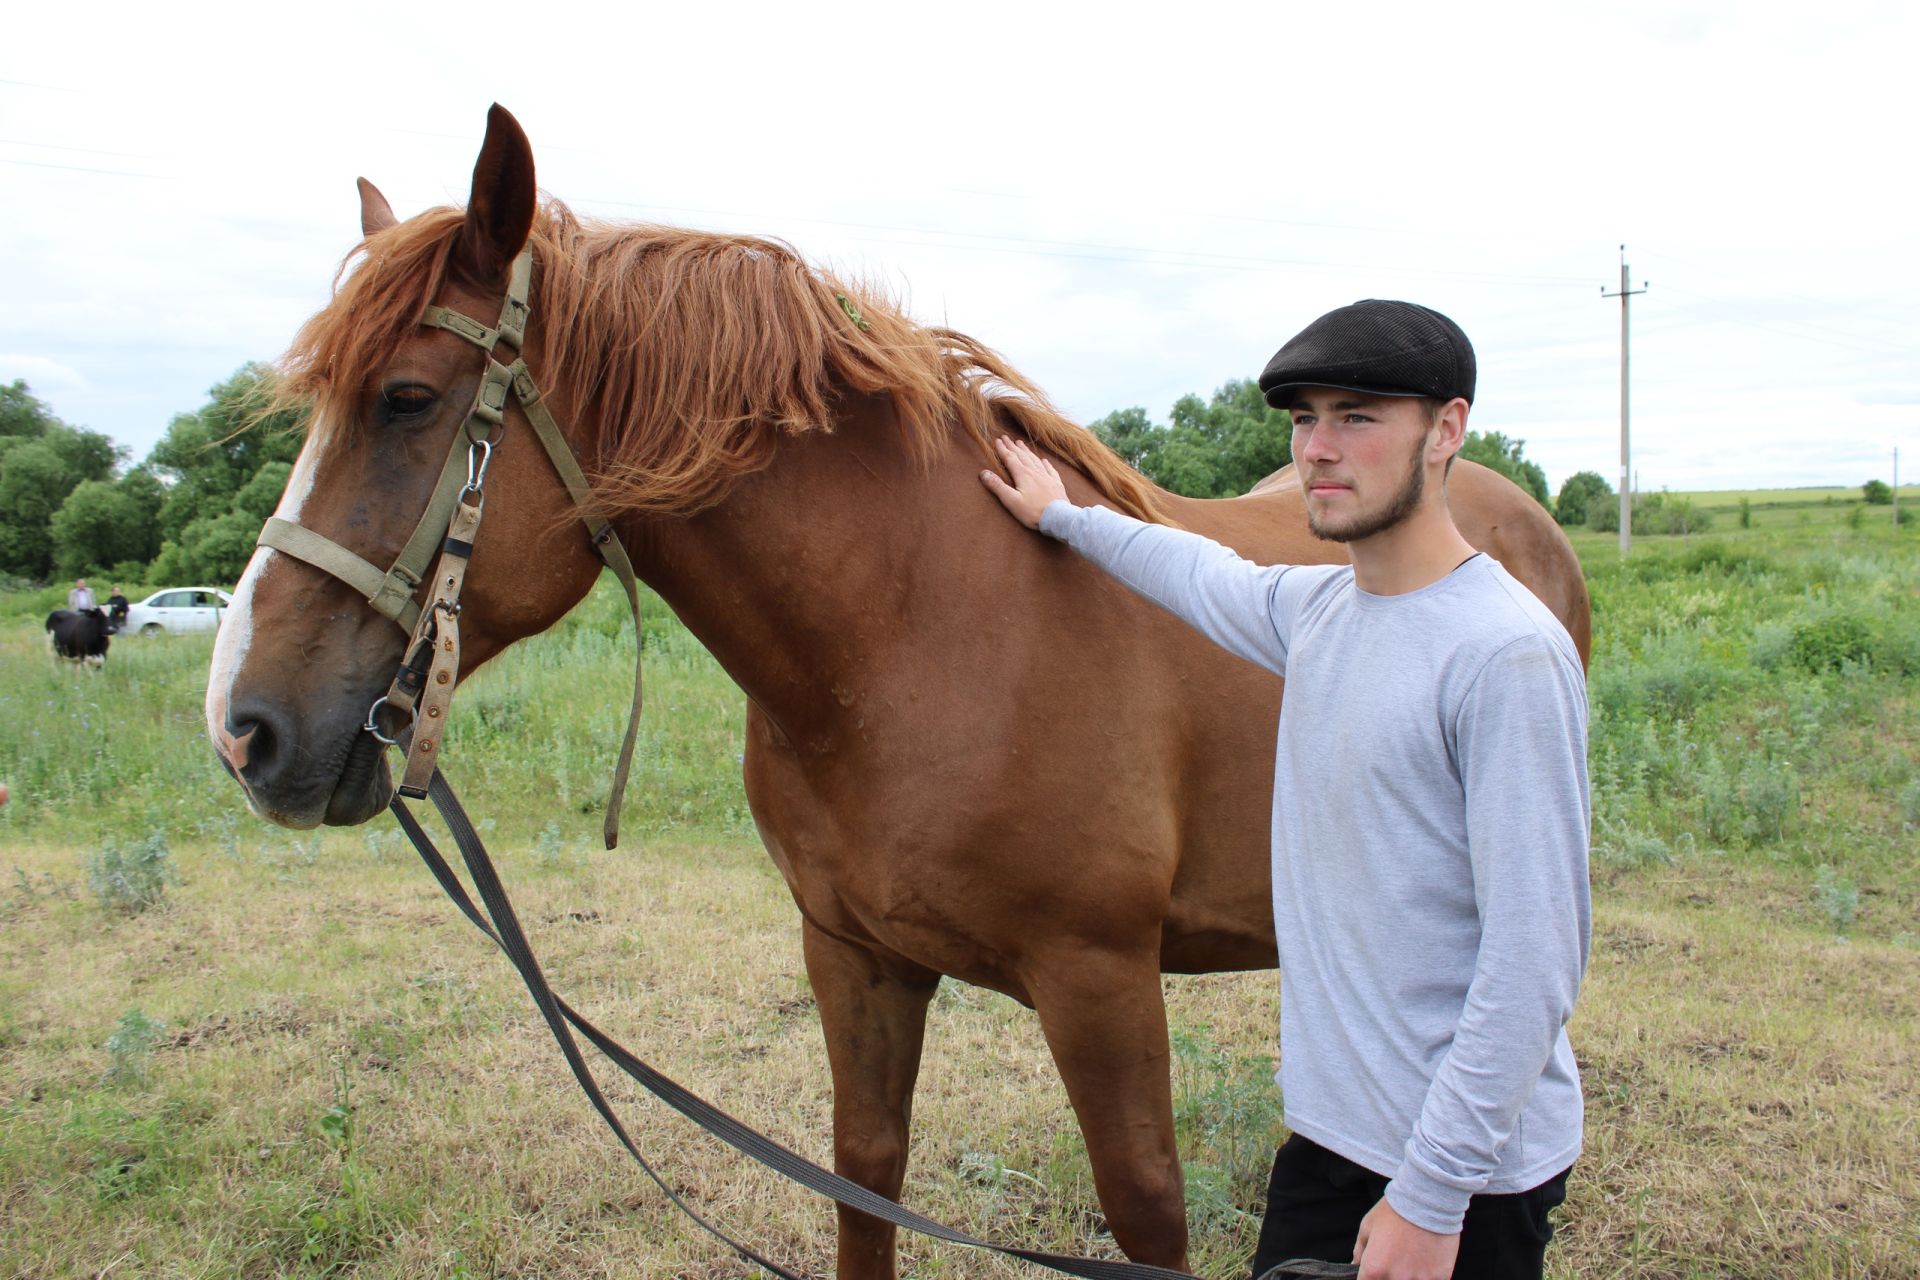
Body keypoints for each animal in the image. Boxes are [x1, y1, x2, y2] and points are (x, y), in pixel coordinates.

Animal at [206, 107, 1589, 1280]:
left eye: (406, 400)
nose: (244, 727)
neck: (916, 634)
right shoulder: (855, 957)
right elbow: (864, 1173)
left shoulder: (1100, 979)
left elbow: (1144, 1209)